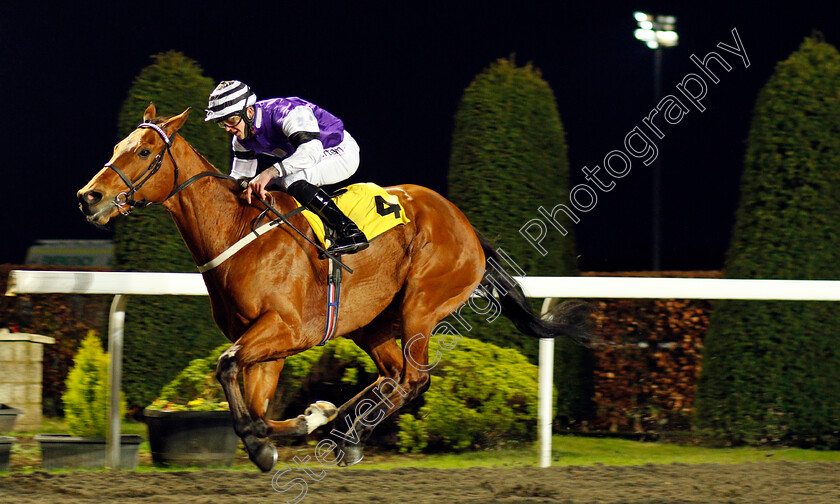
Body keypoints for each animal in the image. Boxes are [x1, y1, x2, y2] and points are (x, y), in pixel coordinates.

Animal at [77, 104, 584, 470]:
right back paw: (342, 430)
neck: (238, 232)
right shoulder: (267, 344)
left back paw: (348, 432)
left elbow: (227, 368)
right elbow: (255, 404)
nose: (89, 197)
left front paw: (264, 442)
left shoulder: (283, 329)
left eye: (144, 152)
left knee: (414, 378)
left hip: (422, 304)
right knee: (391, 376)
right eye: (119, 145)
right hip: (371, 322)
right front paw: (297, 423)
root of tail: (465, 224)